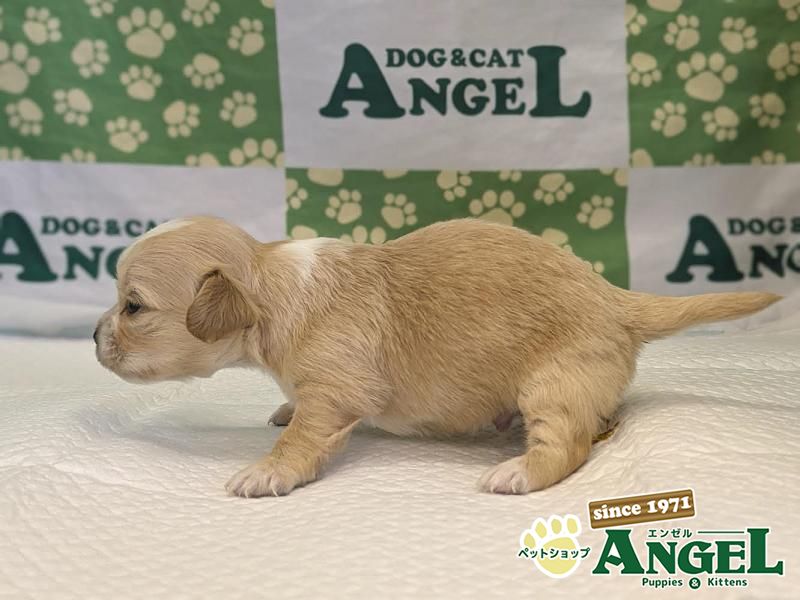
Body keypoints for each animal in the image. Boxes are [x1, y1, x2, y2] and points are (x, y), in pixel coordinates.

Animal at [95, 217, 780, 497]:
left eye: (133, 307)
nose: (94, 336)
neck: (269, 283)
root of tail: (616, 299)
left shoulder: (336, 388)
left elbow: (307, 435)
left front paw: (267, 471)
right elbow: (297, 412)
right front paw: (282, 410)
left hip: (553, 381)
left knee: (567, 445)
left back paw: (518, 472)